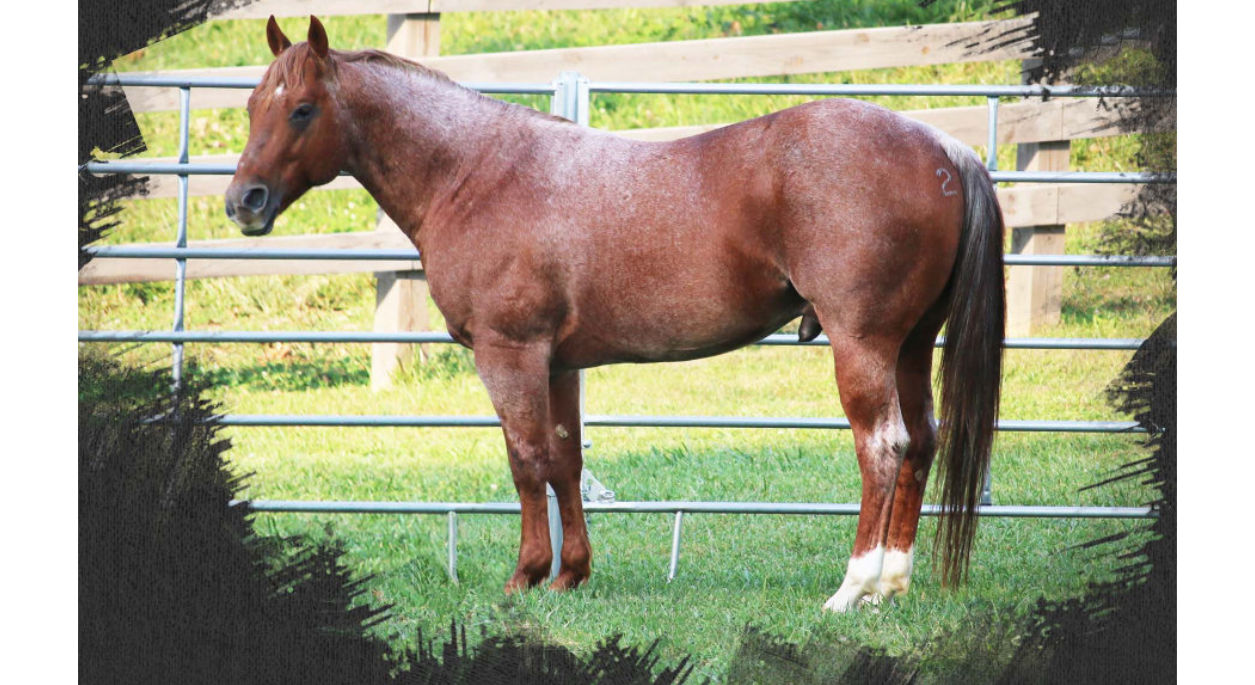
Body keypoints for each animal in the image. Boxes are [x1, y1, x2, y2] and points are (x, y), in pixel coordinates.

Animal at [226, 16, 1004, 612]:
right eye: (252, 107)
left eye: (301, 109)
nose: (244, 202)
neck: (477, 174)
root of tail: (942, 147)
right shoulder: (557, 363)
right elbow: (565, 459)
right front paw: (570, 574)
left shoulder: (509, 353)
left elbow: (525, 461)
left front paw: (525, 576)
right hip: (910, 346)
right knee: (922, 442)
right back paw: (890, 586)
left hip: (861, 345)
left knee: (883, 447)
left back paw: (851, 589)